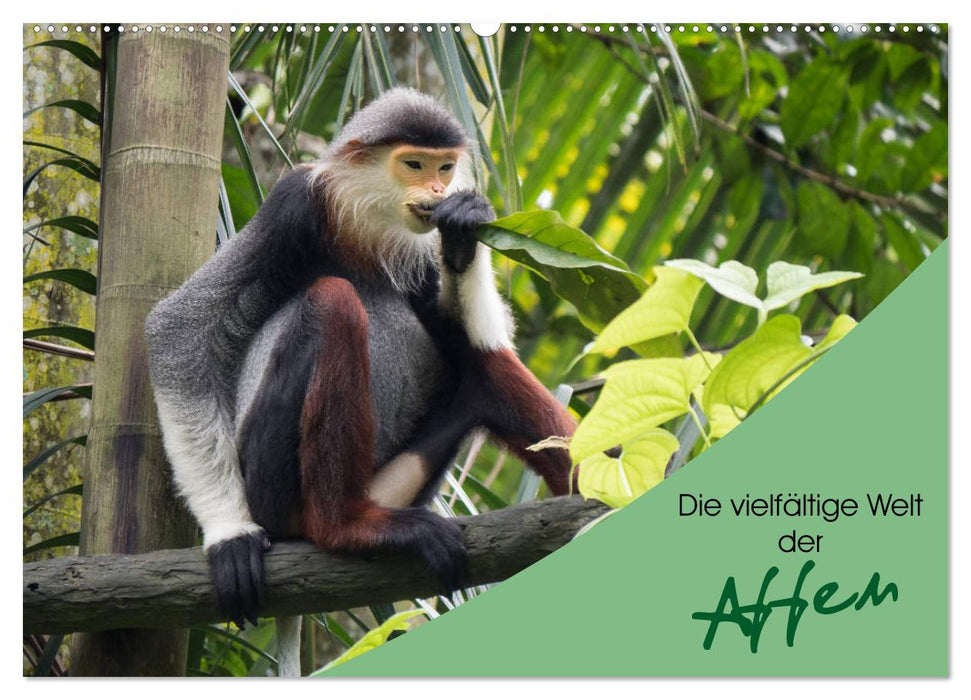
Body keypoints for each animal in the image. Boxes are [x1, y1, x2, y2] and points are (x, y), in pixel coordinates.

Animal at [144, 88, 576, 673]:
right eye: (414, 165)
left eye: (445, 168)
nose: (438, 191)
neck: (365, 225)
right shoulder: (293, 204)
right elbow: (177, 329)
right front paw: (228, 535)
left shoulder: (419, 248)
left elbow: (475, 337)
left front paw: (464, 232)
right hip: (272, 484)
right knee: (334, 301)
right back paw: (346, 528)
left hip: (396, 482)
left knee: (480, 365)